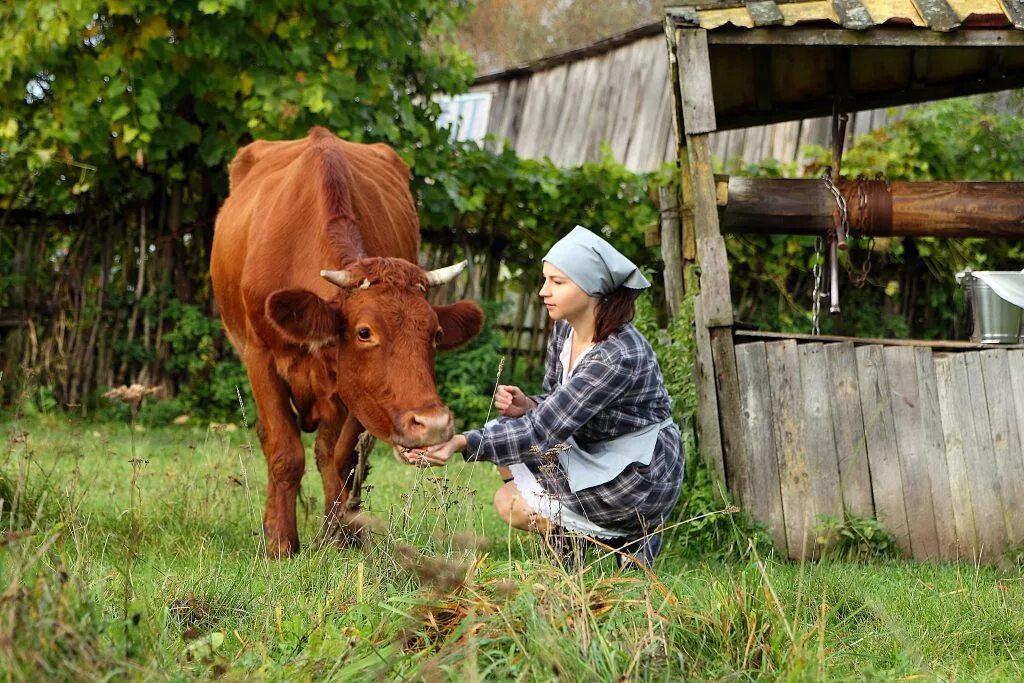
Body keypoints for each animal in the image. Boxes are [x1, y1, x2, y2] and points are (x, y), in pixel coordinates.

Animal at [210, 126, 483, 557]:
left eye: (436, 334)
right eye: (364, 332)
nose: (433, 424)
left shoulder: (355, 388)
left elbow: (340, 458)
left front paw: (341, 538)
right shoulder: (260, 356)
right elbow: (284, 452)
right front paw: (281, 542)